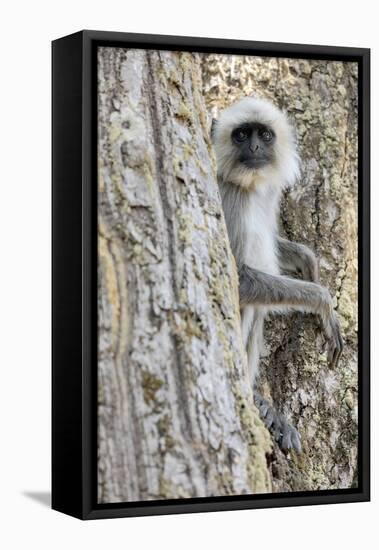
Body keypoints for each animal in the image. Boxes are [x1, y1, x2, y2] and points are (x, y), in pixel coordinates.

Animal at [212, 97, 346, 454]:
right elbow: (240, 280)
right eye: (242, 134)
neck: (248, 187)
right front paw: (322, 301)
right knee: (251, 303)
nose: (255, 147)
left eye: (265, 135)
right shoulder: (228, 199)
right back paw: (253, 398)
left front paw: (309, 265)